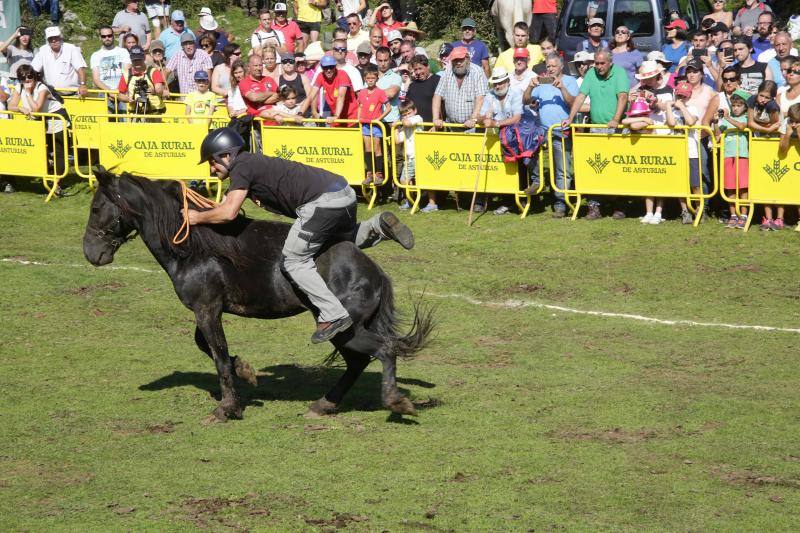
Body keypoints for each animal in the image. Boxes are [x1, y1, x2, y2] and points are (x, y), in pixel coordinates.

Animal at [84, 168, 434, 422]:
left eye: (96, 207)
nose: (90, 253)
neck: (193, 247)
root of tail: (374, 272)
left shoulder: (207, 309)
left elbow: (218, 357)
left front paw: (226, 408)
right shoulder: (208, 309)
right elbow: (210, 348)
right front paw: (245, 371)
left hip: (346, 329)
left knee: (384, 350)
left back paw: (396, 401)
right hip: (346, 332)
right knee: (359, 362)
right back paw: (324, 404)